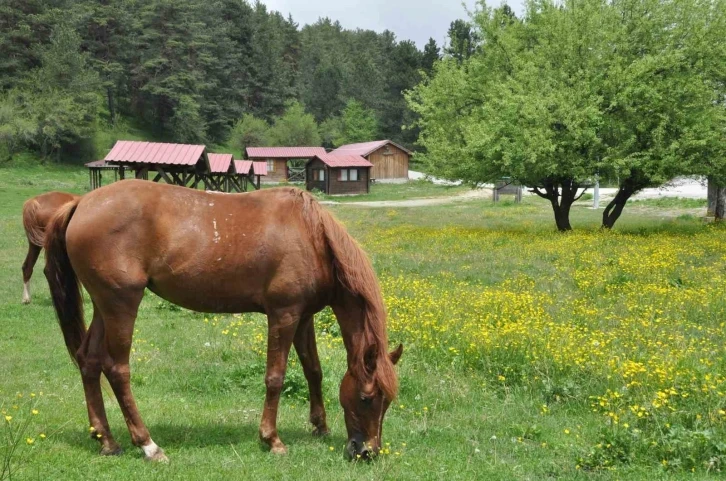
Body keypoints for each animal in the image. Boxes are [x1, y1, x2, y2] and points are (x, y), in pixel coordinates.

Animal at [44, 180, 404, 462]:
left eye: (387, 400)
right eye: (367, 398)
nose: (367, 451)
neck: (312, 235)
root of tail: (81, 203)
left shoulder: (303, 317)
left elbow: (313, 370)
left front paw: (320, 425)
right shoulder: (284, 314)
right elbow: (275, 377)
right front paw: (271, 439)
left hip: (104, 306)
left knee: (89, 361)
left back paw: (106, 440)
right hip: (121, 304)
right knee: (118, 370)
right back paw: (148, 445)